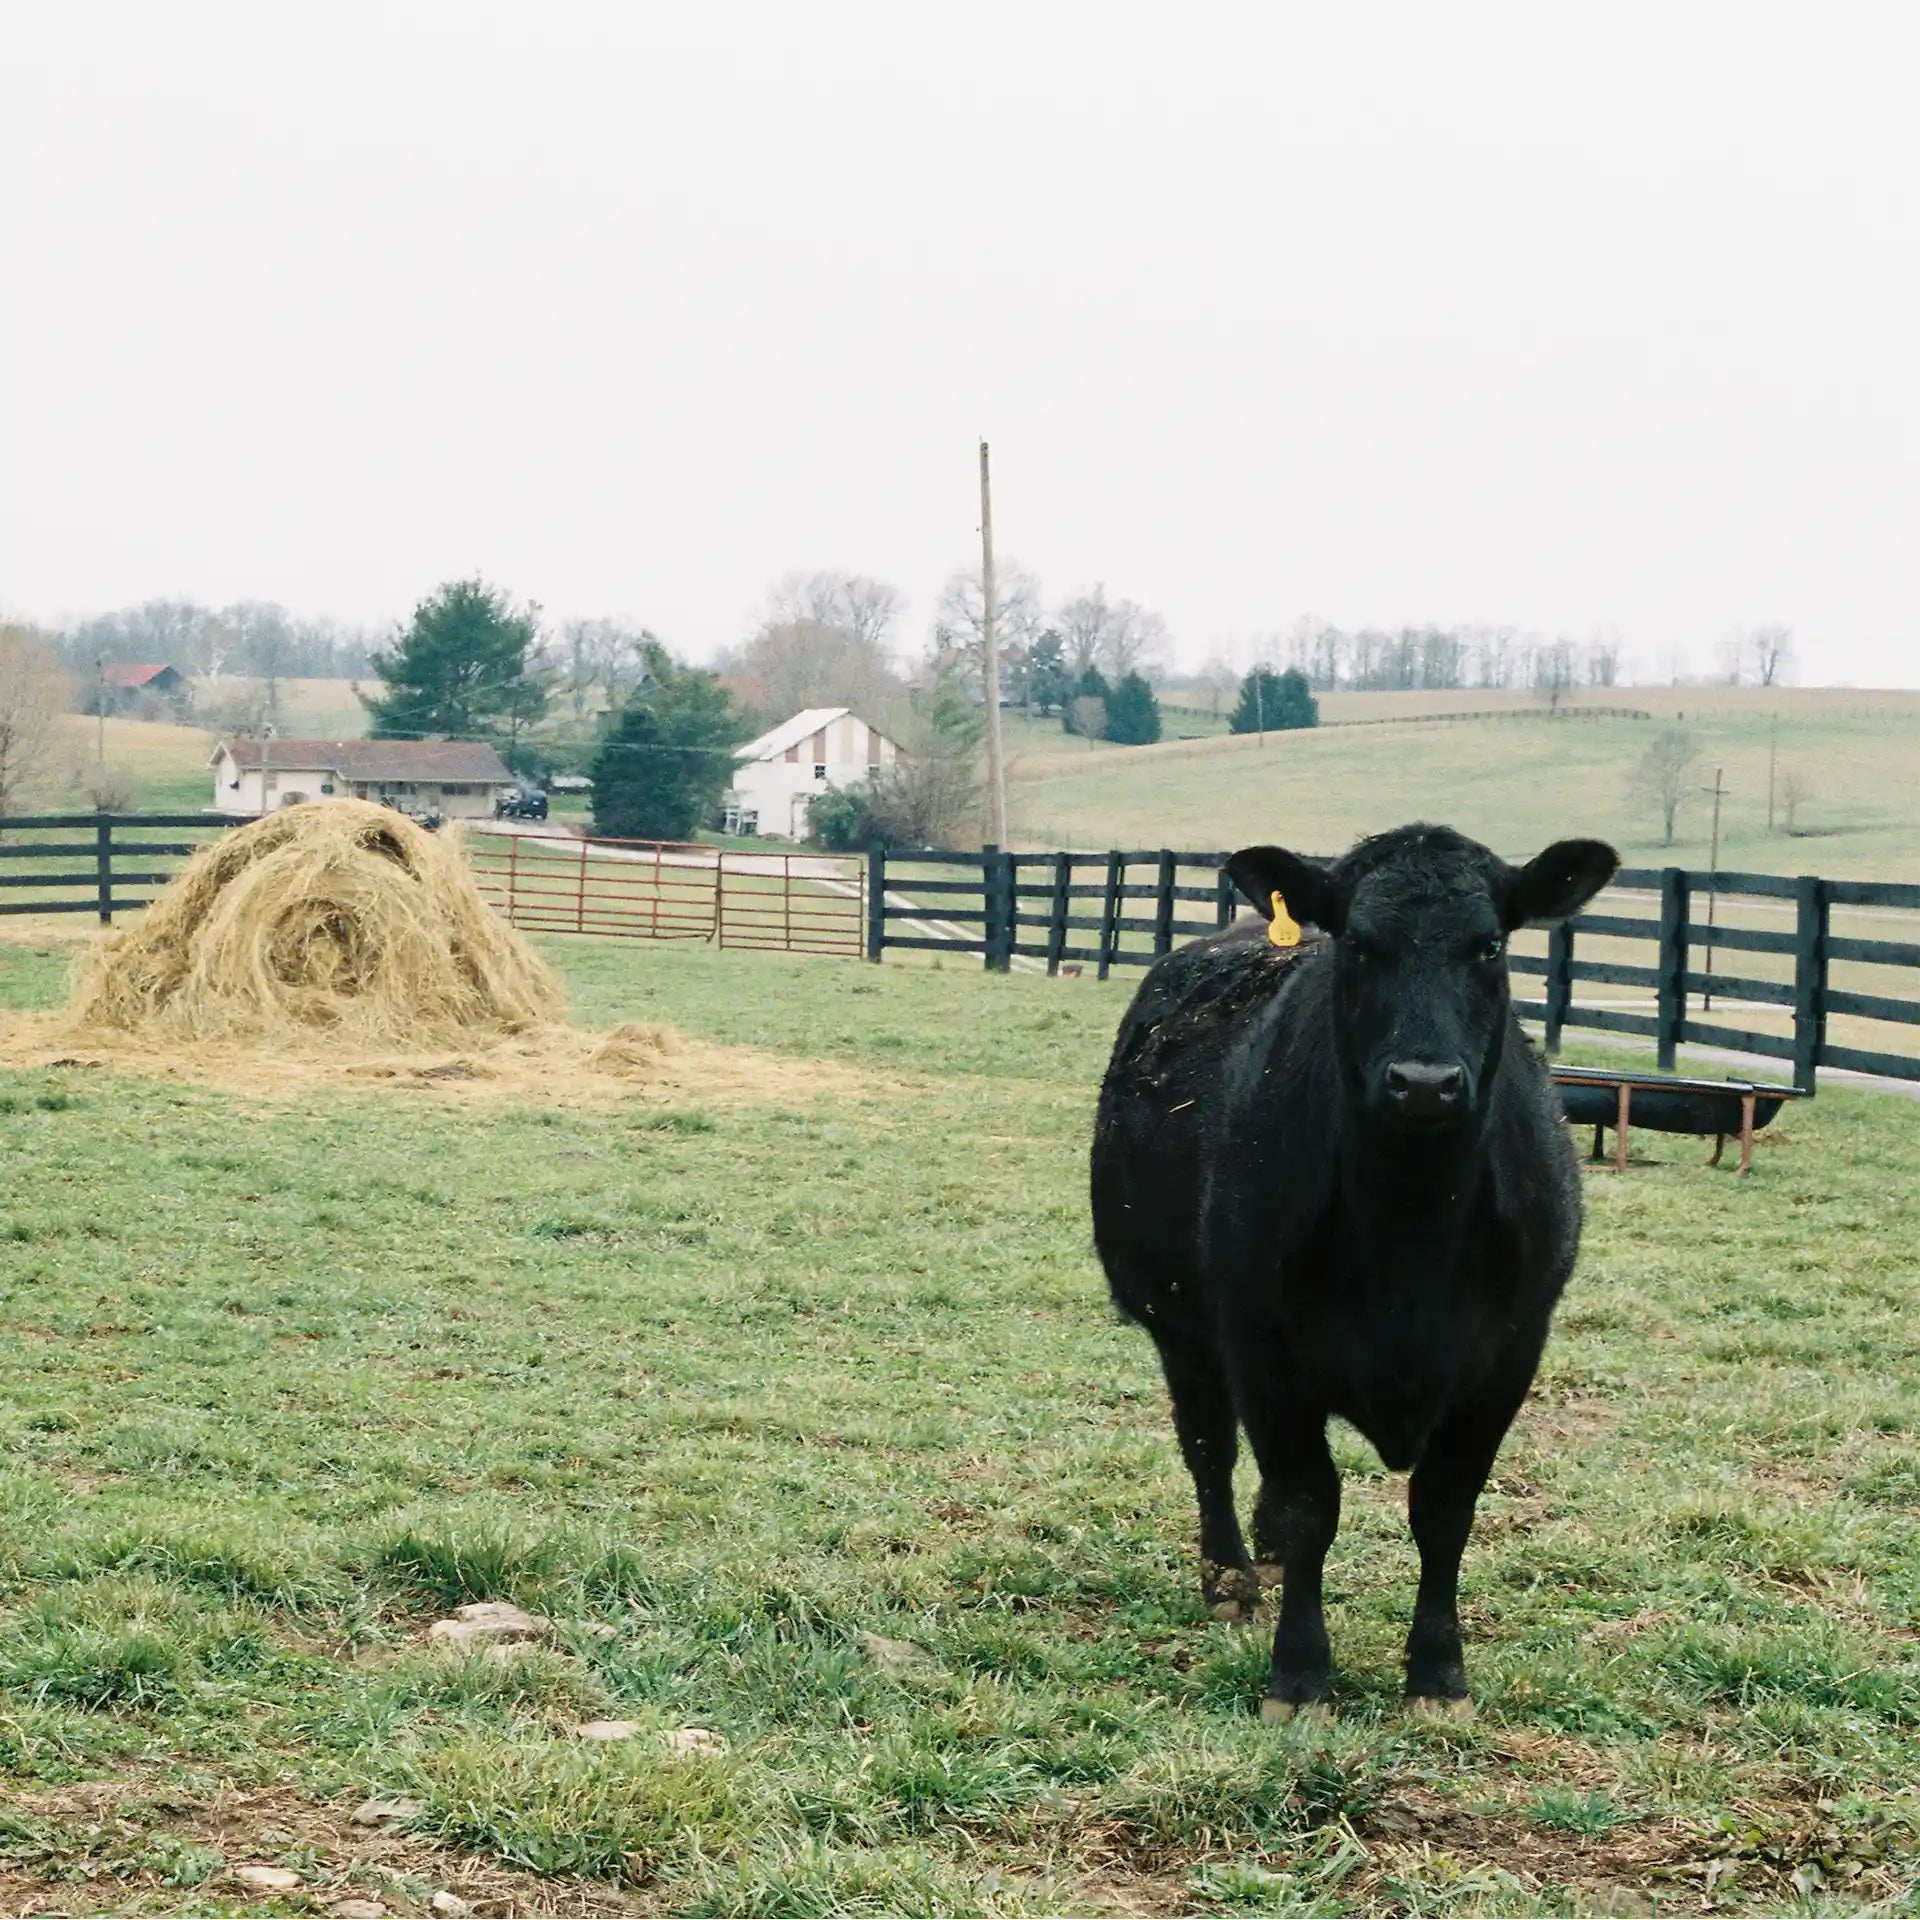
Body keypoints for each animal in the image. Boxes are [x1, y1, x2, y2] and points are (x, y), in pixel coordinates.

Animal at [1090, 823, 1618, 1720]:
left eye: (1489, 945)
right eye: (1360, 945)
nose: (1425, 1083)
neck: (1410, 1234)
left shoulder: (1506, 1358)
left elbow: (1444, 1510)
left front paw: (1438, 1673)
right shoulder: (1264, 1350)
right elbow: (1310, 1504)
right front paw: (1300, 1674)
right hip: (1183, 1331)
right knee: (1210, 1449)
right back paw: (1230, 1577)